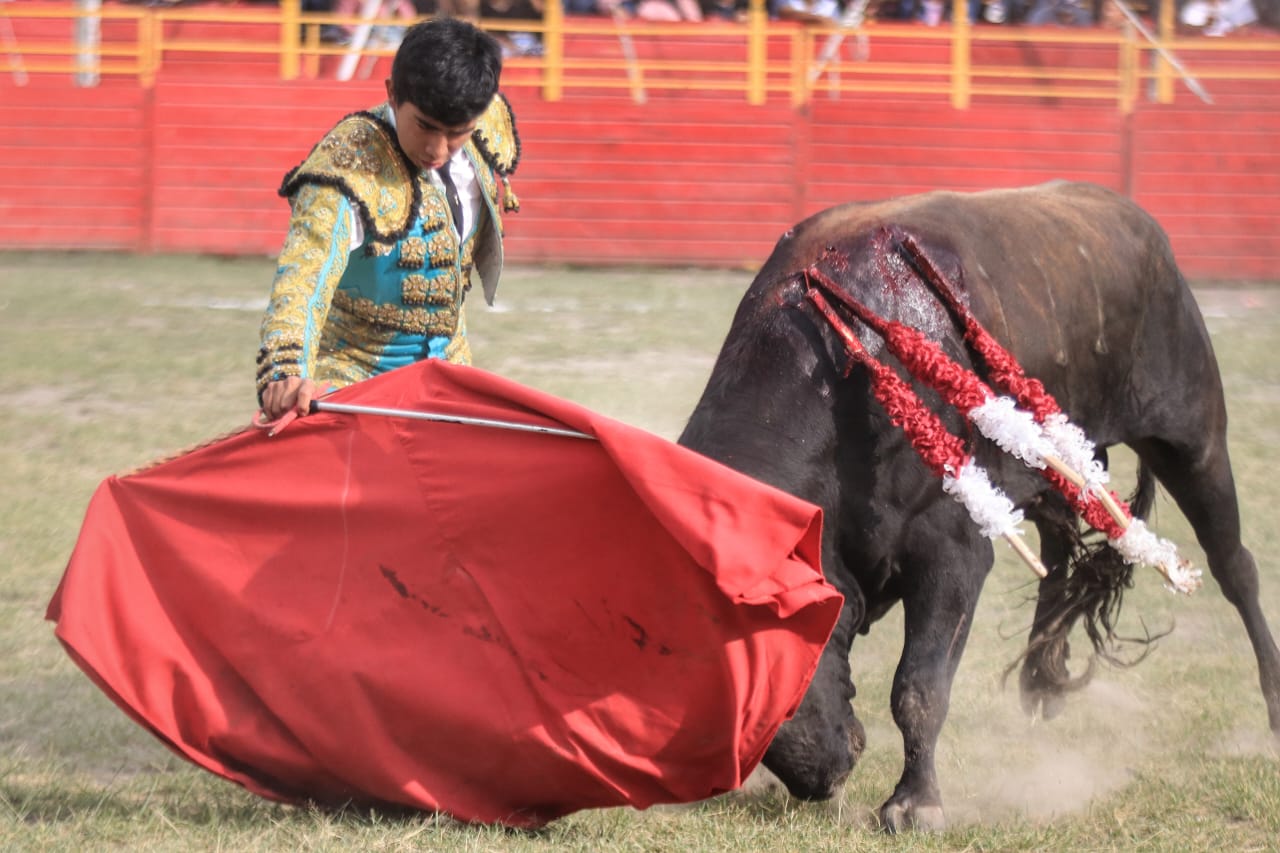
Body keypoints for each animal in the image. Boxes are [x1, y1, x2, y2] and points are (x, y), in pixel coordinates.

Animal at [680, 180, 1280, 829]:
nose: (823, 780)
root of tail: (1139, 223)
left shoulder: (953, 553)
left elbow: (919, 685)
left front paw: (916, 805)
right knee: (1059, 557)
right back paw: (1040, 684)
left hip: (1193, 438)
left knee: (1234, 567)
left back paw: (1272, 703)